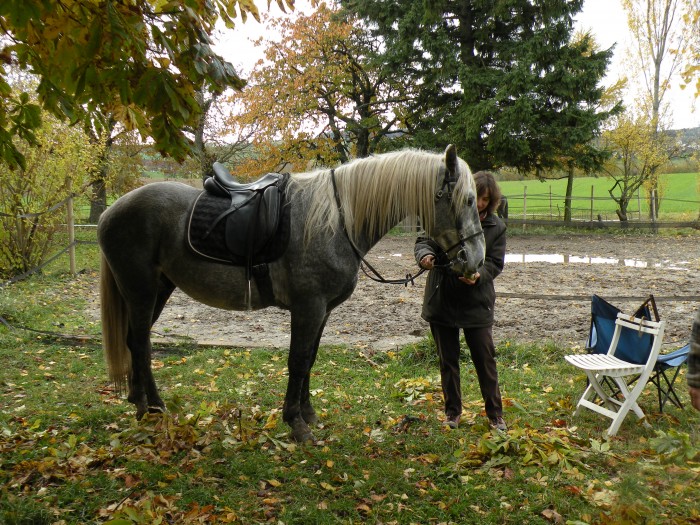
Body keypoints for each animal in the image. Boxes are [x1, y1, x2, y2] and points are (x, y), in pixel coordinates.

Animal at [100, 144, 486, 442]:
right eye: (468, 200)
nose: (475, 259)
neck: (338, 220)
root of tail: (112, 210)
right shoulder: (308, 307)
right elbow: (298, 360)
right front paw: (296, 424)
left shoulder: (322, 311)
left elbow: (310, 358)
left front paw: (308, 413)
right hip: (141, 290)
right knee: (141, 343)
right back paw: (153, 407)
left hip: (158, 289)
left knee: (134, 341)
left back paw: (141, 402)